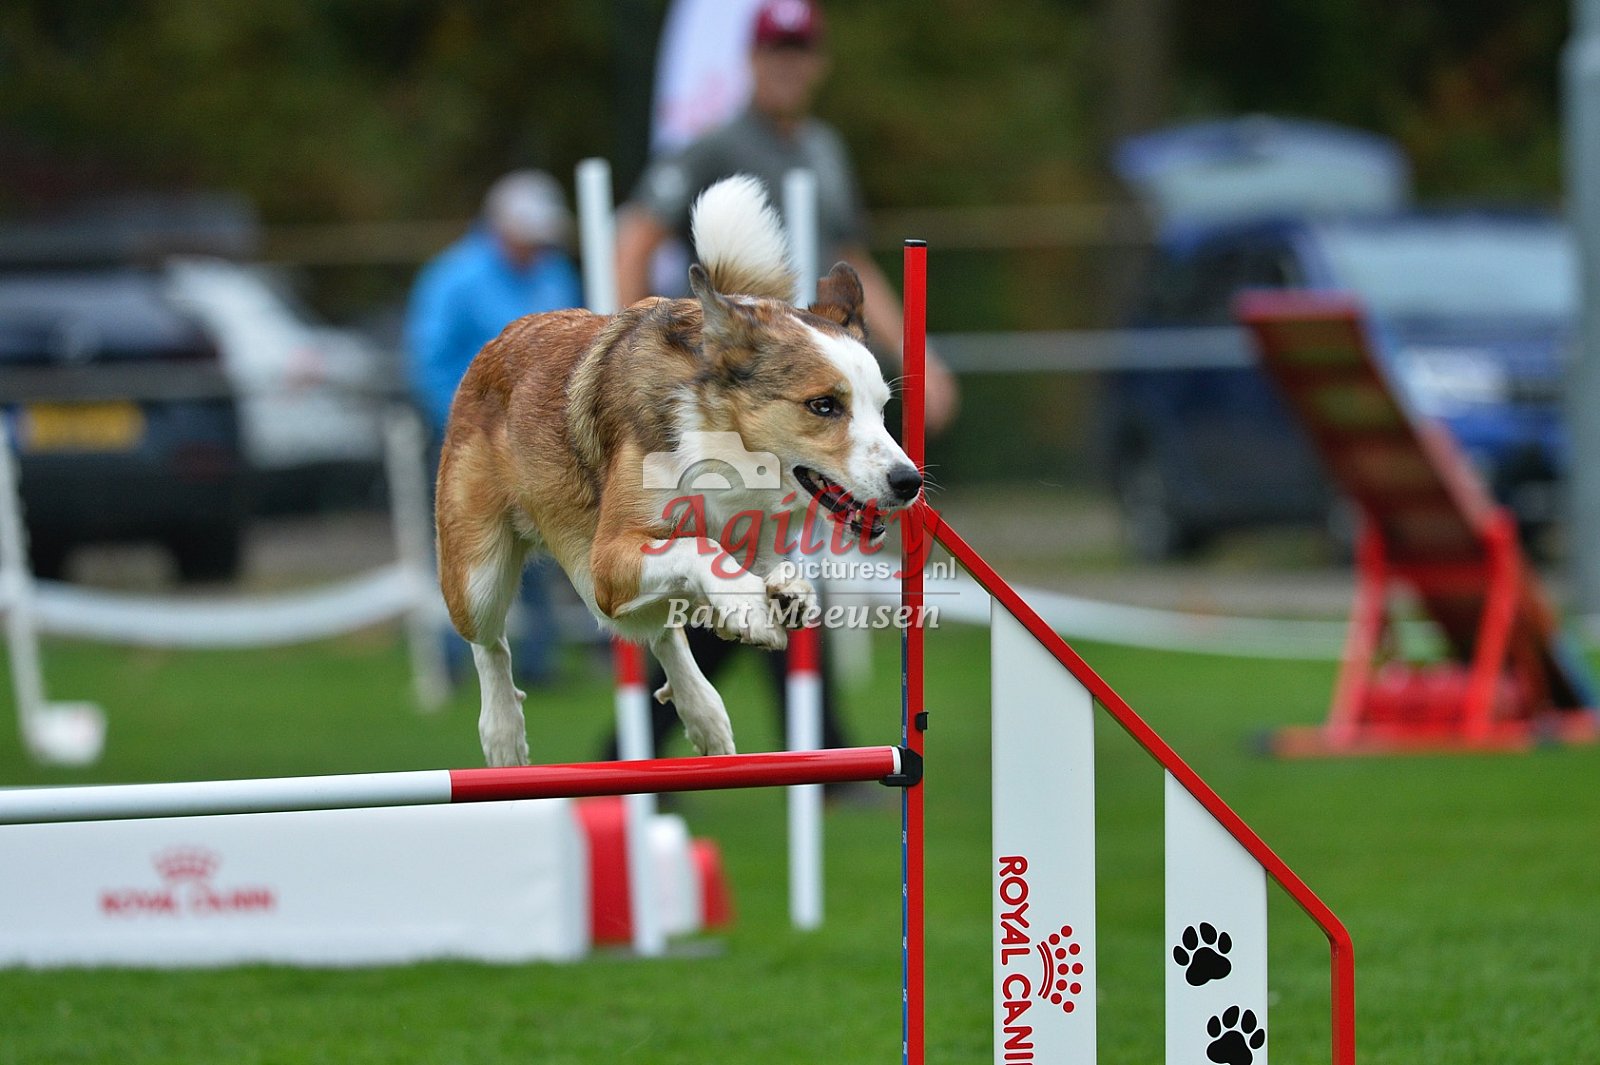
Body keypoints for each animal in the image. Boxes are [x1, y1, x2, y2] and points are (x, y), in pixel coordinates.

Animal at [435, 174, 922, 767]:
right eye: (824, 405)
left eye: (882, 409)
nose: (909, 482)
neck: (733, 460)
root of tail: (496, 343)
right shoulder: (606, 559)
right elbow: (699, 547)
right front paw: (749, 606)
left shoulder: (752, 540)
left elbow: (761, 570)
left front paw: (787, 594)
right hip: (479, 570)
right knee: (490, 642)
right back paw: (504, 735)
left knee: (658, 628)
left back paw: (704, 712)